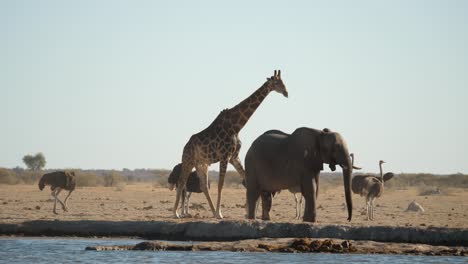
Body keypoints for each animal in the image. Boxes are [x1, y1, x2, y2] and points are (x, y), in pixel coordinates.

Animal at [174, 69, 288, 219]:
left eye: (284, 81)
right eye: (276, 83)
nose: (286, 92)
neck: (236, 126)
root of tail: (185, 146)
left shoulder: (234, 156)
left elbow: (246, 180)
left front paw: (248, 213)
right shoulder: (225, 156)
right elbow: (221, 185)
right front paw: (220, 213)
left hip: (202, 164)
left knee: (204, 186)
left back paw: (211, 212)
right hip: (188, 160)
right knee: (181, 182)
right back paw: (176, 213)